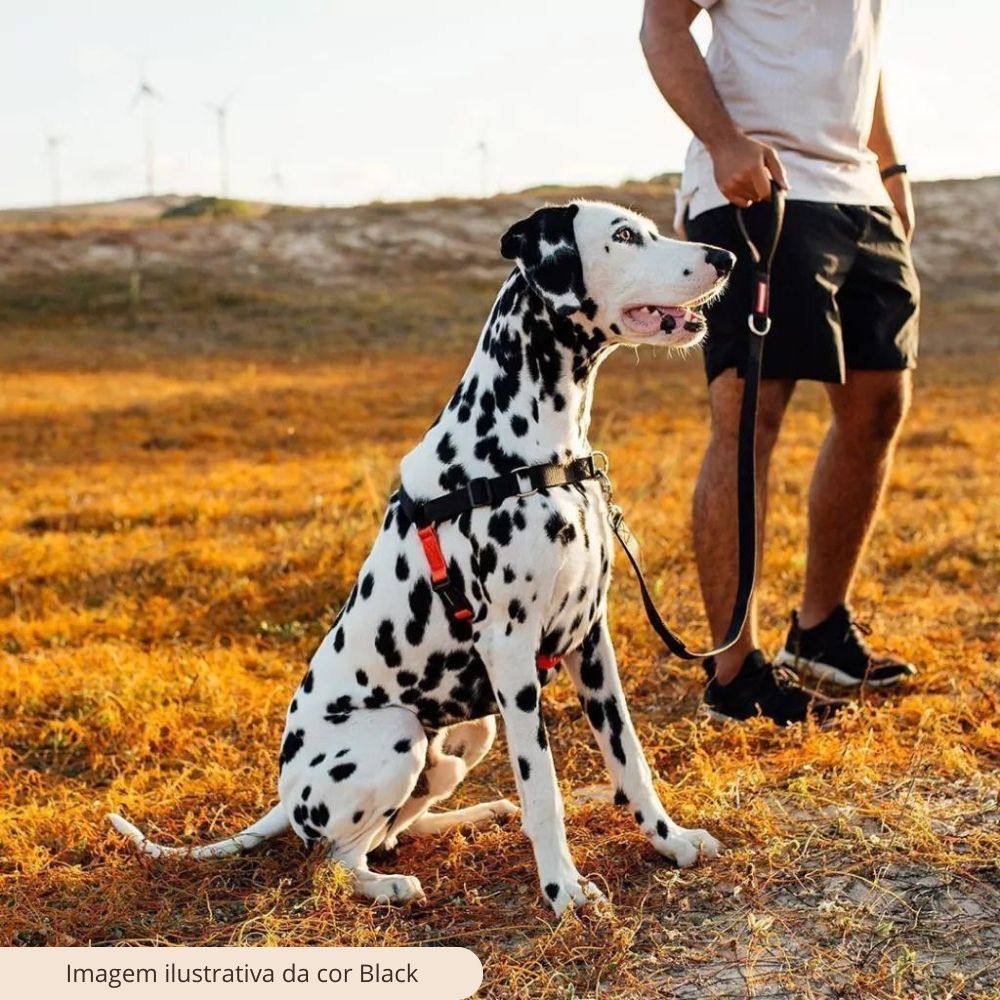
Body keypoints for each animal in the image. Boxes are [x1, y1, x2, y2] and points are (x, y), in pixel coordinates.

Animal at [111, 201, 736, 916]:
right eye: (626, 236)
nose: (726, 257)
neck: (533, 452)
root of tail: (285, 798)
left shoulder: (591, 641)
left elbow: (630, 757)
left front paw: (670, 840)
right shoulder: (511, 653)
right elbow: (542, 788)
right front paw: (563, 890)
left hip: (468, 735)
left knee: (395, 830)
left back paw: (474, 815)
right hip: (397, 735)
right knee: (336, 859)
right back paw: (384, 885)